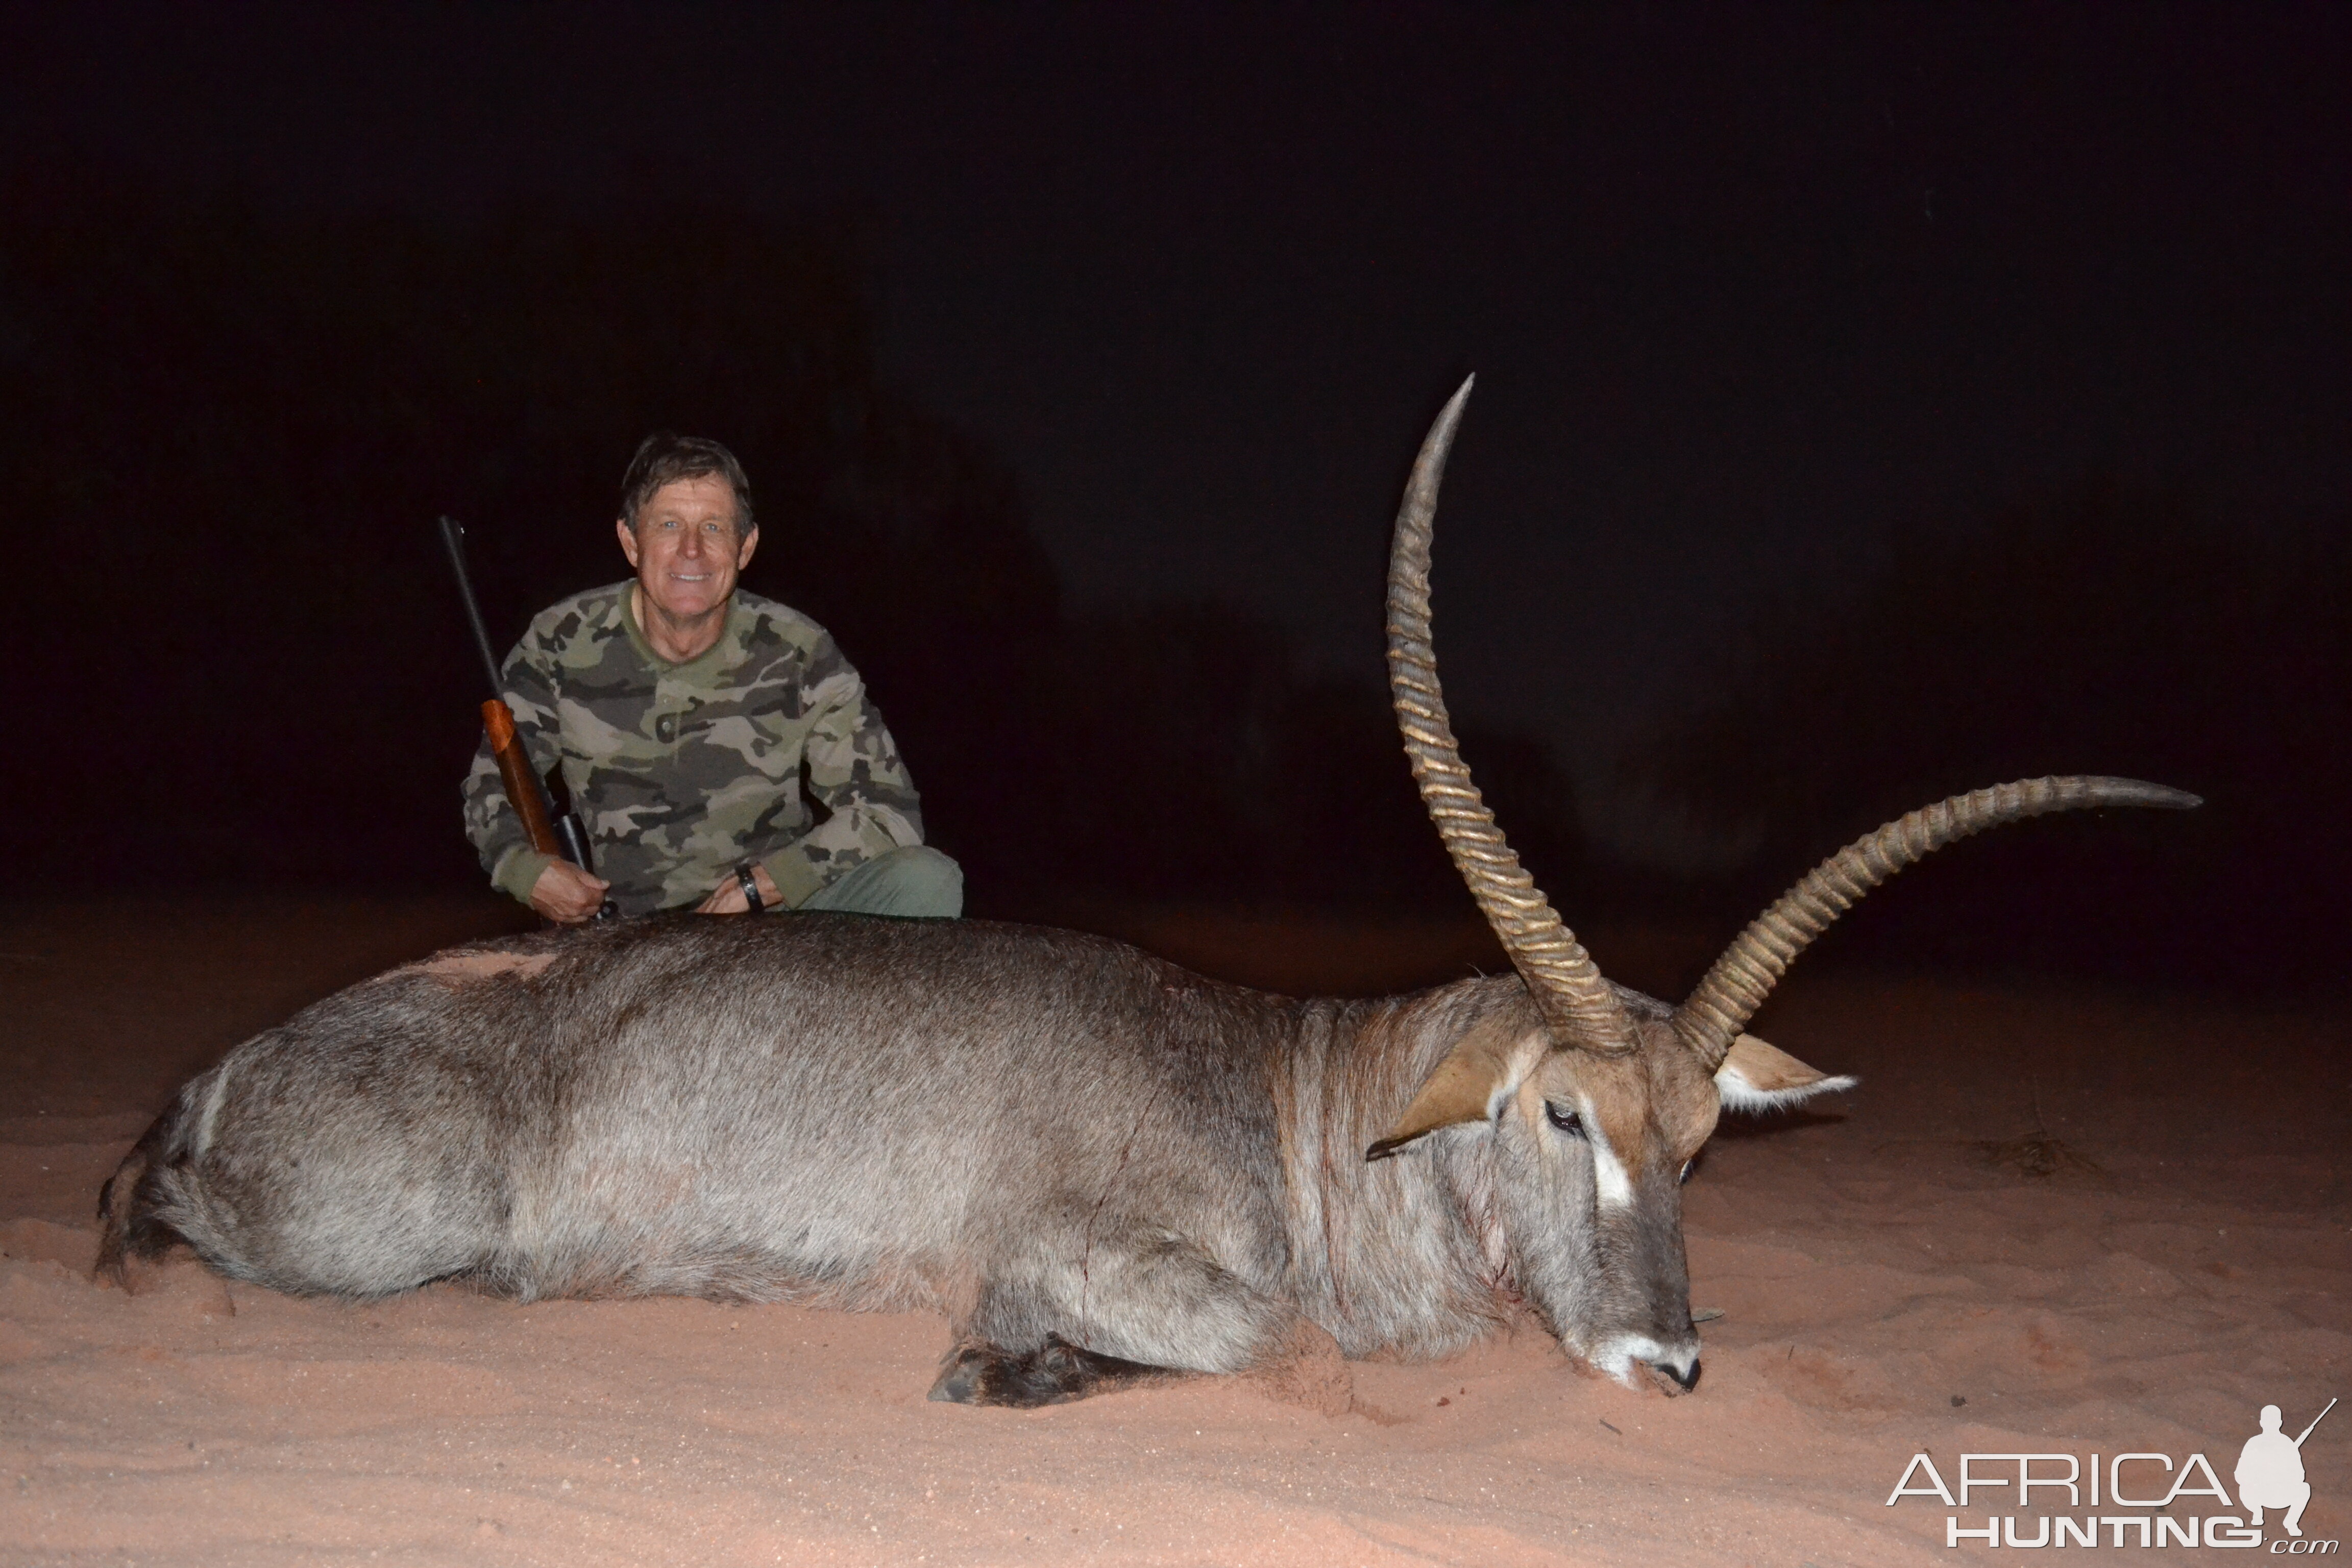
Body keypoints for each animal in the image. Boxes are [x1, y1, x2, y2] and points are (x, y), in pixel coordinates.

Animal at [87, 383, 2183, 1410]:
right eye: (1561, 1114)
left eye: (1700, 1145)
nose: (1665, 1362)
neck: (1299, 1103)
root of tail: (215, 1074)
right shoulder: (1086, 1248)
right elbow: (1244, 1338)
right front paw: (995, 1365)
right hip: (372, 1229)